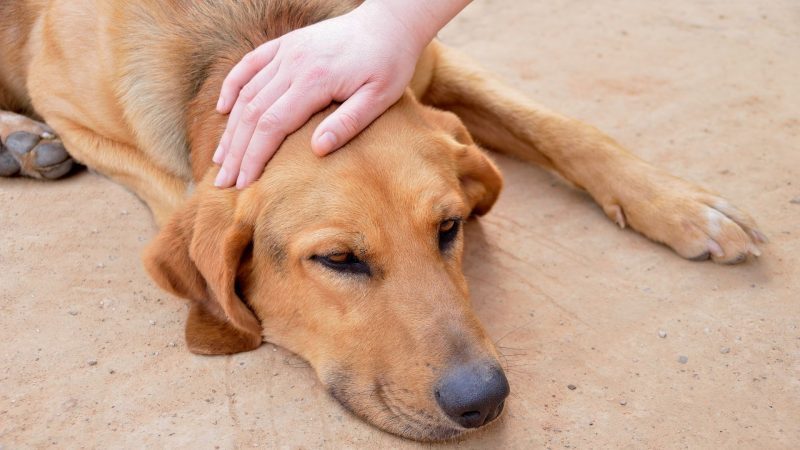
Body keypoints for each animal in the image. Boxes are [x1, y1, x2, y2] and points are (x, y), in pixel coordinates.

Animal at [0, 0, 764, 442]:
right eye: (339, 260)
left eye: (450, 228)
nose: (483, 401)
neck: (261, 33)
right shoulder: (76, 113)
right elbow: (178, 192)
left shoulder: (412, 59)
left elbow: (560, 126)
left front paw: (684, 205)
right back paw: (21, 141)